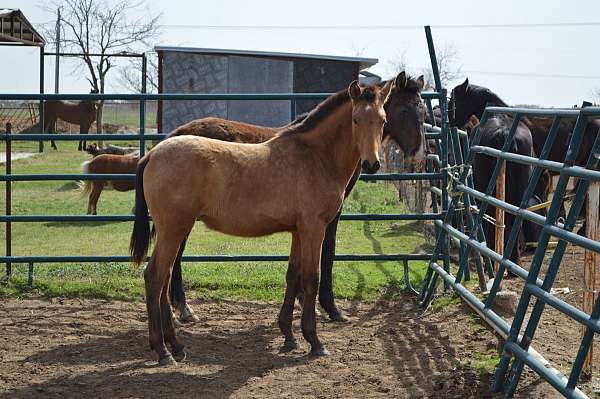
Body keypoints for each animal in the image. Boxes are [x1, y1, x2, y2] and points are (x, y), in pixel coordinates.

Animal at [130, 78, 394, 366]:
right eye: (356, 119)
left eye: (383, 120)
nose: (372, 164)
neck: (315, 156)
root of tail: (152, 154)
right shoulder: (314, 228)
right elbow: (311, 278)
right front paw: (314, 342)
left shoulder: (298, 231)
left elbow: (293, 276)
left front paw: (289, 336)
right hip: (173, 230)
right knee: (156, 277)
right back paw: (163, 350)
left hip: (174, 230)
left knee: (163, 278)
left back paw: (176, 345)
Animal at [162, 72, 426, 324]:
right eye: (405, 109)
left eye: (422, 110)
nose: (419, 154)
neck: (320, 151)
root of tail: (177, 134)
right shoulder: (328, 216)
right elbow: (327, 253)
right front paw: (330, 308)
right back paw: (183, 309)